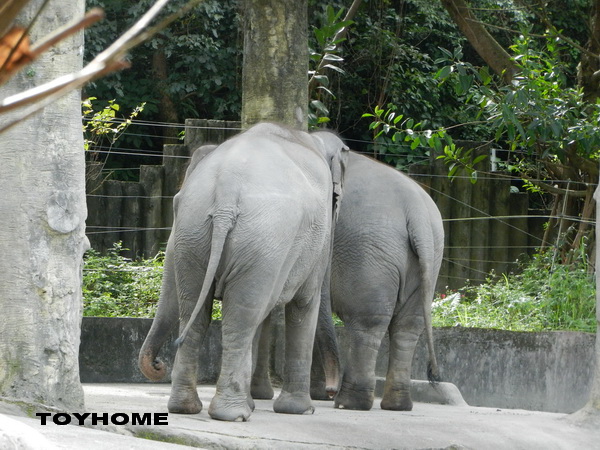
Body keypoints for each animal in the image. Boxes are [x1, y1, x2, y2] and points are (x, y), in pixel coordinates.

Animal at [138, 120, 350, 422]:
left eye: (175, 204)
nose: (158, 364)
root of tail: (226, 194)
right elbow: (304, 302)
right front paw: (300, 410)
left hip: (194, 237)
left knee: (197, 311)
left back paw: (185, 408)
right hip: (264, 239)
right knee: (243, 314)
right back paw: (234, 414)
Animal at [251, 145, 442, 412]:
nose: (330, 390)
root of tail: (419, 216)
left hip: (370, 256)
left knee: (367, 323)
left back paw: (349, 403)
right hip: (427, 261)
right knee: (407, 326)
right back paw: (395, 405)